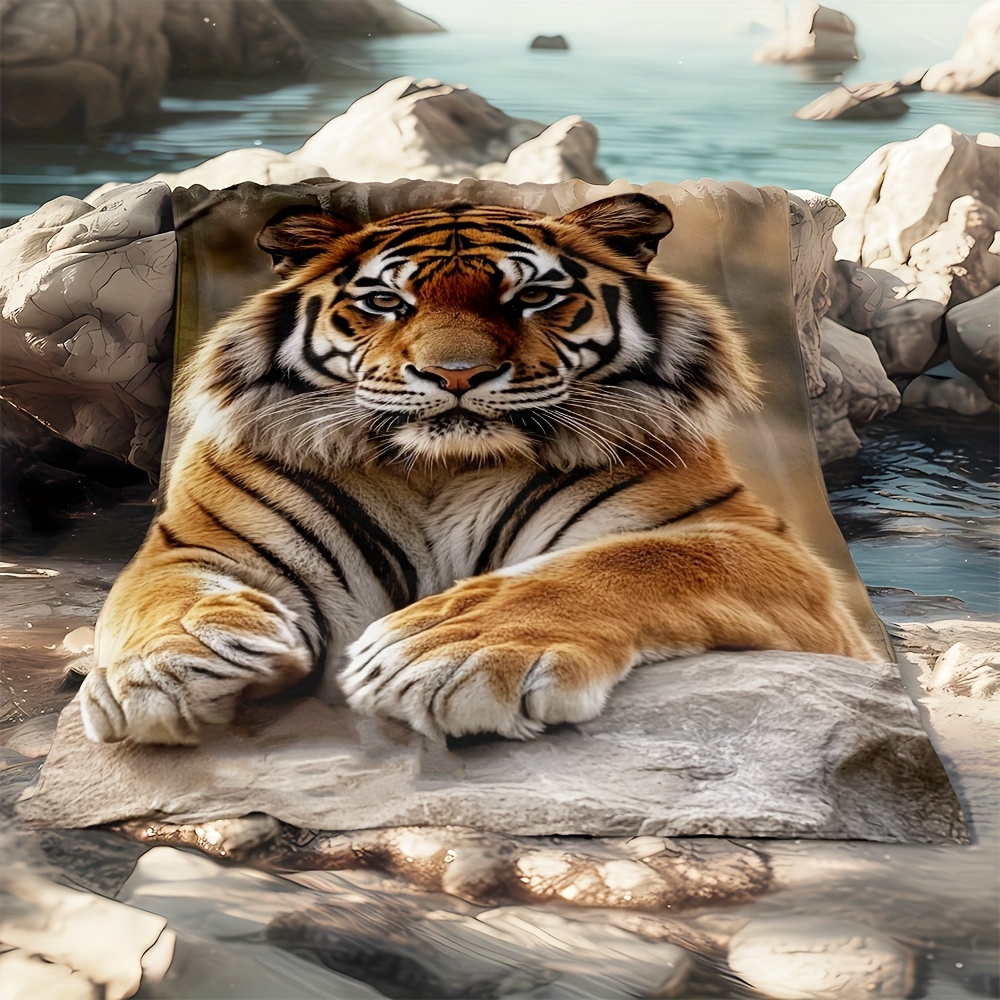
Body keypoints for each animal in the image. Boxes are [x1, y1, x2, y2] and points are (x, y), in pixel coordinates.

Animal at [78, 192, 880, 747]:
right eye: (385, 301)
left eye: (534, 296)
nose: (455, 375)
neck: (442, 470)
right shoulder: (194, 546)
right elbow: (164, 597)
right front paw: (165, 669)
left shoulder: (758, 545)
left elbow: (623, 563)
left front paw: (447, 653)